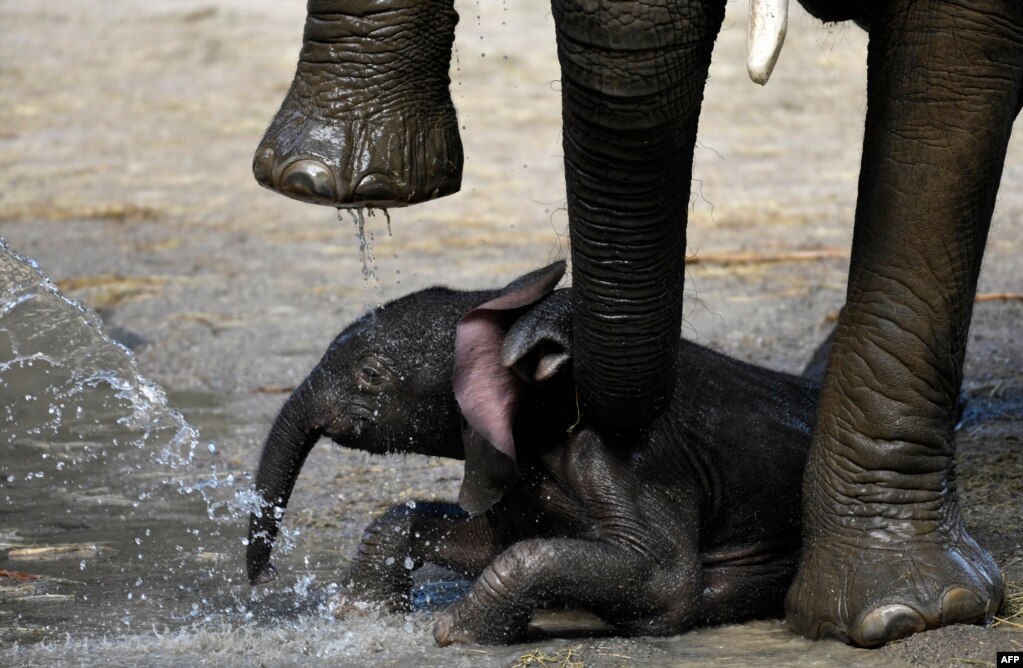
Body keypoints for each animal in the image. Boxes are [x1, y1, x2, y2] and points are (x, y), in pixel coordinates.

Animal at [243, 261, 818, 646]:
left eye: (370, 374)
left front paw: (454, 631)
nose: (264, 577)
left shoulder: (630, 459)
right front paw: (358, 614)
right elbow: (492, 538)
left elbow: (664, 583)